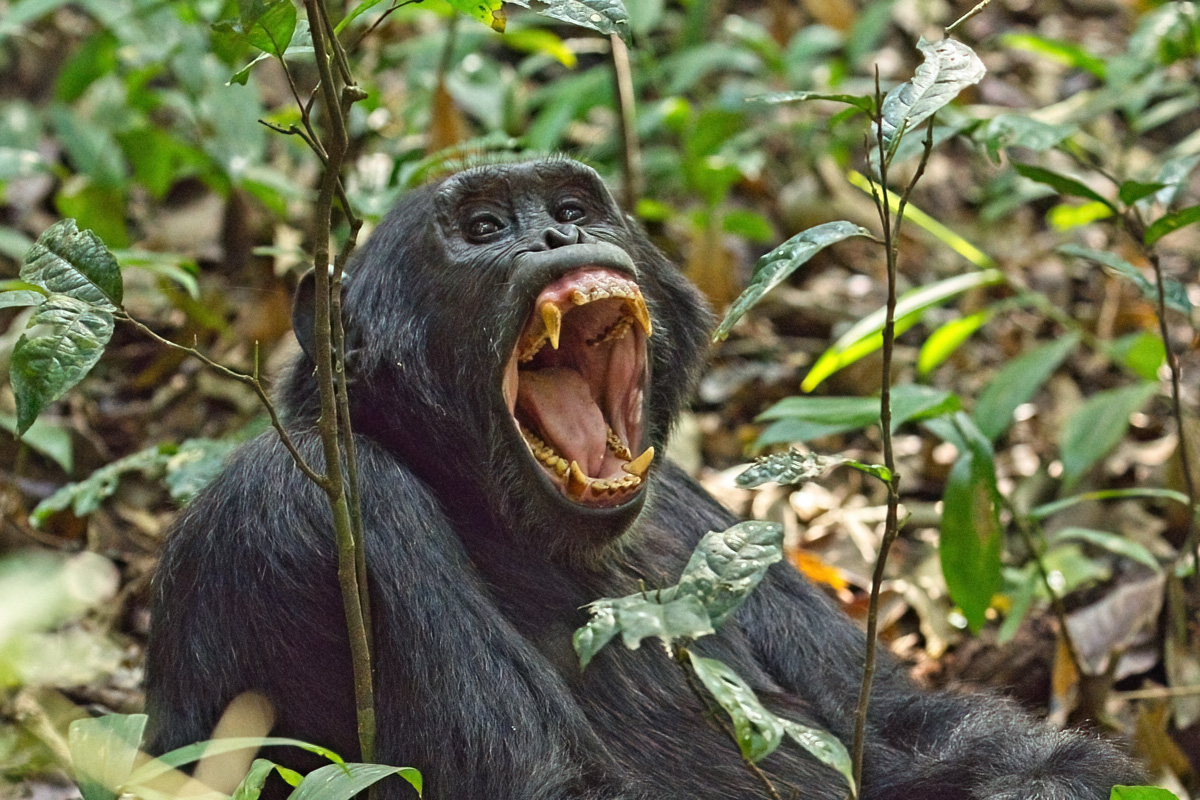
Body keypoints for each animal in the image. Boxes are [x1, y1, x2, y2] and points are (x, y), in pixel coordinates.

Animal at [147, 158, 1142, 800]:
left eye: (575, 205)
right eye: (483, 230)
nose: (558, 234)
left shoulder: (698, 509)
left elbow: (897, 725)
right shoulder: (318, 506)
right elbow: (549, 785)